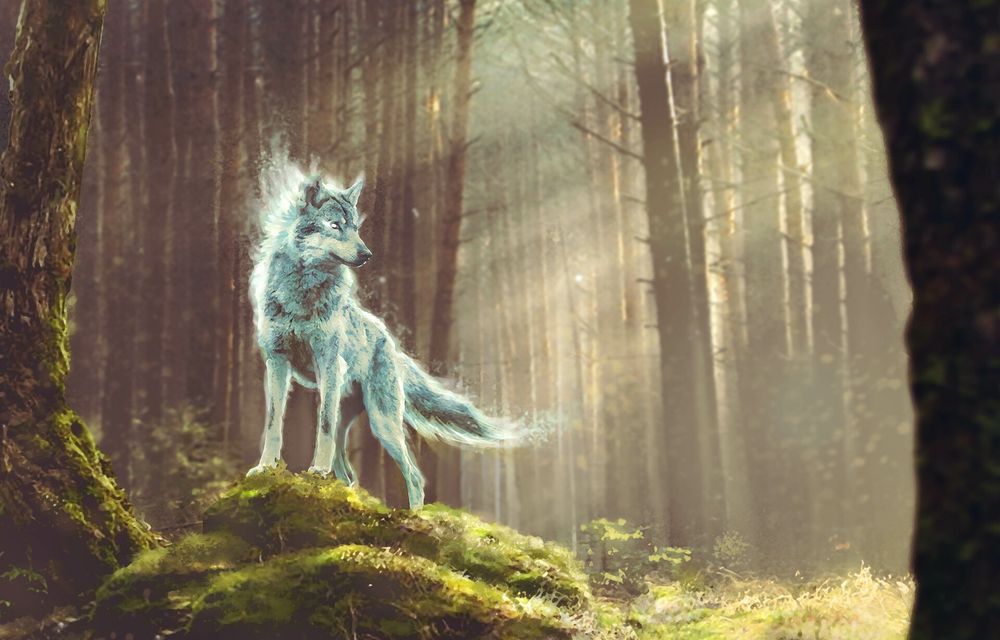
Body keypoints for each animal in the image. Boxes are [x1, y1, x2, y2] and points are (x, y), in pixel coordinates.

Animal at [247, 173, 517, 508]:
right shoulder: (276, 361)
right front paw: (264, 468)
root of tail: (390, 341)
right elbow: (273, 423)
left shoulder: (327, 363)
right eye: (335, 225)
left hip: (383, 423)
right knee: (349, 474)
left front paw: (316, 472)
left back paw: (414, 515)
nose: (367, 255)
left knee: (413, 476)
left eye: (356, 227)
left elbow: (322, 426)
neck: (302, 292)